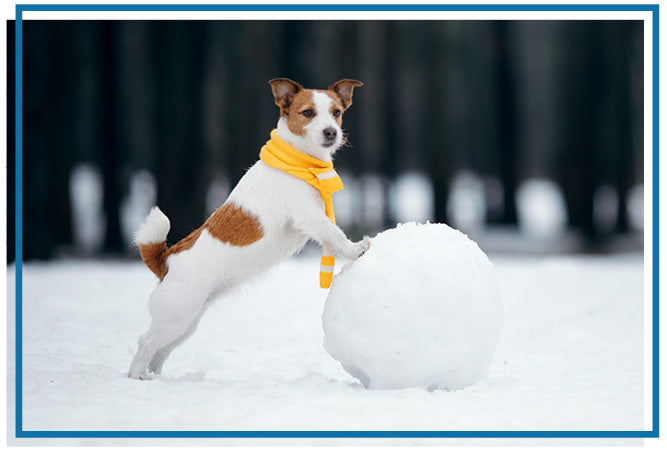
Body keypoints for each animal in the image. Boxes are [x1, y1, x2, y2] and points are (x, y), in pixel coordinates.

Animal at [127, 77, 368, 378]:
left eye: (336, 112)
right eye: (308, 113)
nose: (331, 132)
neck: (300, 161)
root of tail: (165, 260)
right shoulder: (309, 217)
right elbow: (335, 234)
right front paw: (356, 249)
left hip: (186, 322)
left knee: (161, 349)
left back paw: (156, 376)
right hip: (176, 313)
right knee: (145, 341)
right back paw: (137, 375)